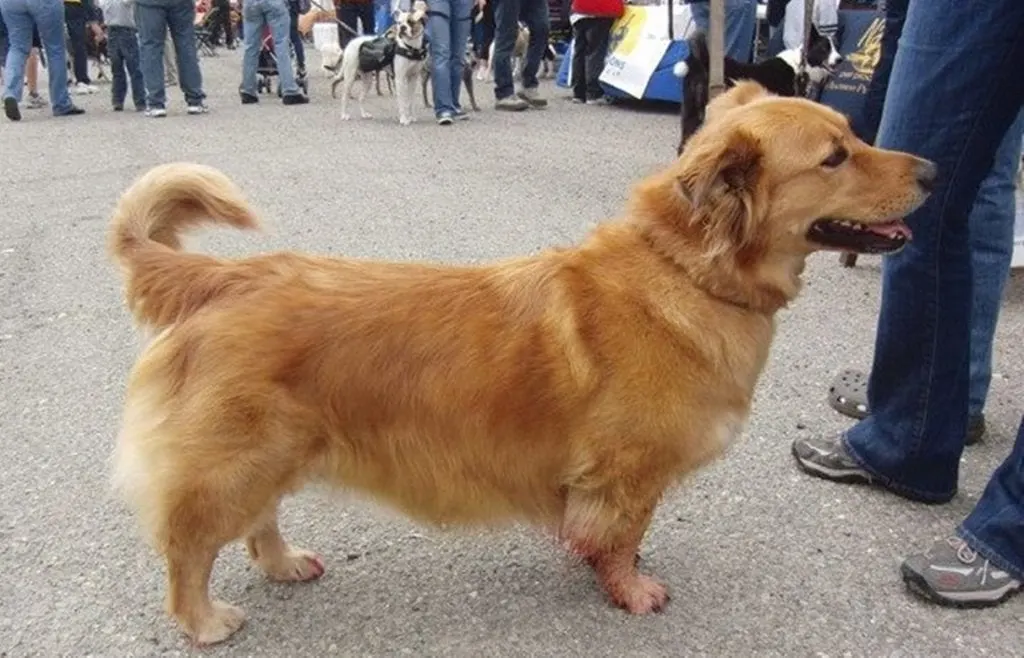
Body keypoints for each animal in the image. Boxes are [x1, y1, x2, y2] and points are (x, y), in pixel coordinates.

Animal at [105, 79, 937, 646]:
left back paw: (283, 563)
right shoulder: (628, 473)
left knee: (259, 522)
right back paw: (203, 619)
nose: (933, 171)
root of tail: (225, 276)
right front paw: (629, 588)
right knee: (189, 546)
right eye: (836, 156)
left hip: (274, 452)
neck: (685, 270)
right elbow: (623, 537)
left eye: (854, 135)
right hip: (236, 460)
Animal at [671, 25, 839, 153]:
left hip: (691, 113)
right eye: (824, 48)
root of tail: (700, 60)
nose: (840, 59)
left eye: (835, 47)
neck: (800, 65)